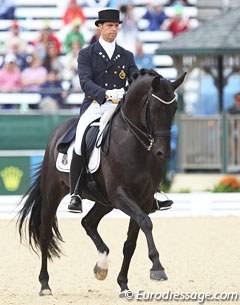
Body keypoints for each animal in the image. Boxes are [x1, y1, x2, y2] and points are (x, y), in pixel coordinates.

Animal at [17, 68, 187, 296]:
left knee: (88, 222)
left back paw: (101, 267)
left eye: (175, 108)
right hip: (54, 192)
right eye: (154, 108)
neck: (133, 143)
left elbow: (131, 242)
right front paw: (157, 268)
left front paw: (124, 285)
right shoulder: (120, 194)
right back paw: (45, 285)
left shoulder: (142, 199)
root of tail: (59, 130)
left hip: (104, 201)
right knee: (45, 233)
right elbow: (146, 223)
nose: (164, 153)